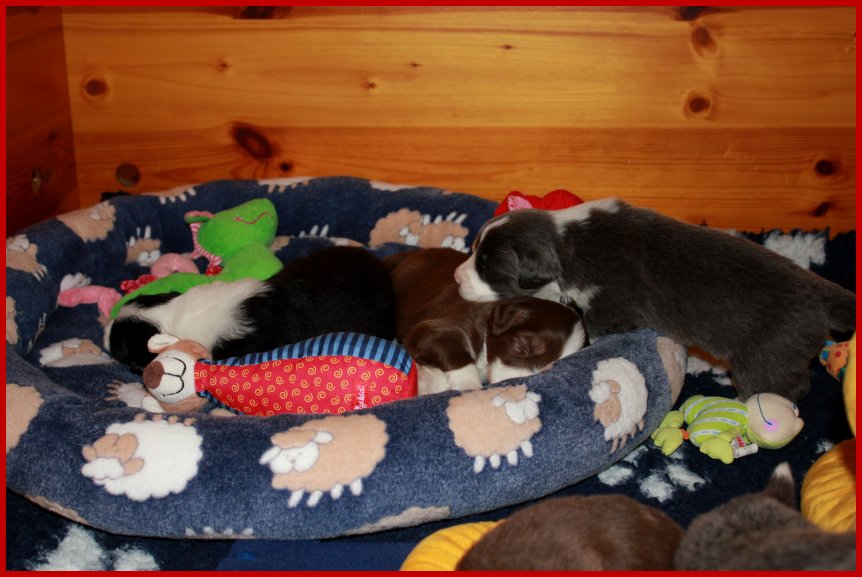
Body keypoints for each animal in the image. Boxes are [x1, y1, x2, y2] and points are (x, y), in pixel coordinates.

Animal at [385, 248, 585, 394]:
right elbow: (457, 355)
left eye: (550, 367)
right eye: (524, 348)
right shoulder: (433, 329)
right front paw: (469, 385)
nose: (517, 383)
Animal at [454, 199, 856, 401]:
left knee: (784, 389)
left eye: (488, 265)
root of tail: (818, 292)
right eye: (474, 250)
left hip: (766, 357)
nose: (456, 278)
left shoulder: (609, 310)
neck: (566, 242)